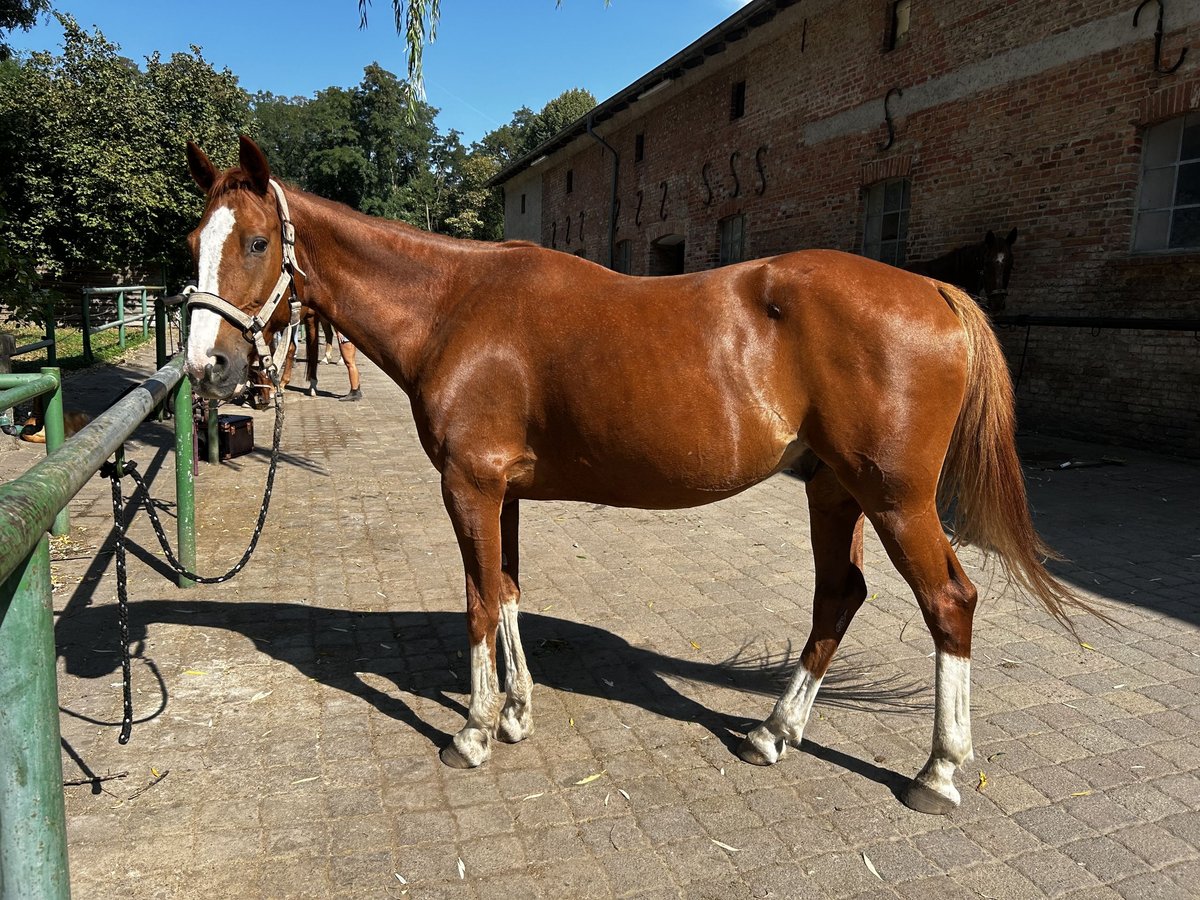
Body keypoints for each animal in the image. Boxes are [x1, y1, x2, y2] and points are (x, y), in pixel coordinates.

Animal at [180, 139, 1099, 816]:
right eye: (193, 245)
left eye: (257, 242)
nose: (208, 368)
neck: (454, 306)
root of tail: (935, 290)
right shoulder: (505, 493)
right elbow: (507, 594)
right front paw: (517, 712)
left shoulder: (469, 487)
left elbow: (477, 602)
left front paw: (473, 731)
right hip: (833, 490)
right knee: (839, 596)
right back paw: (773, 734)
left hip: (897, 500)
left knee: (949, 603)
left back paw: (938, 772)